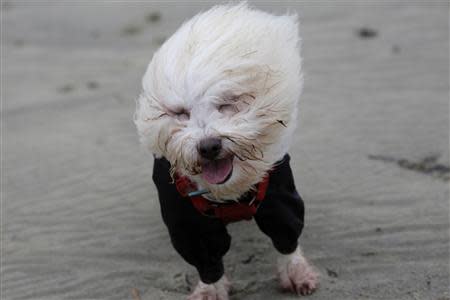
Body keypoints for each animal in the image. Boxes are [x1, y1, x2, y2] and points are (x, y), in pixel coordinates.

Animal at [134, 3, 320, 298]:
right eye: (180, 113)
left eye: (227, 104)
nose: (209, 146)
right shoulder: (186, 219)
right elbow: (205, 256)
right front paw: (210, 289)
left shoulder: (278, 194)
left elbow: (286, 233)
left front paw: (296, 272)